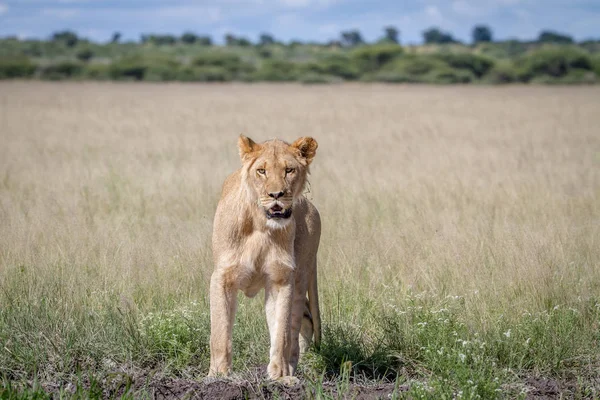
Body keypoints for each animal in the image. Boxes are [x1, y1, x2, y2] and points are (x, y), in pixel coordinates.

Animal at [209, 136, 322, 380]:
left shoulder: (282, 278)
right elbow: (220, 332)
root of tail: (311, 206)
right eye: (261, 171)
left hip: (300, 277)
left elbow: (281, 333)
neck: (261, 224)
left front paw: (279, 376)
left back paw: (291, 368)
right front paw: (218, 376)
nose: (276, 195)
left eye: (289, 170)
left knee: (298, 326)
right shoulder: (222, 277)